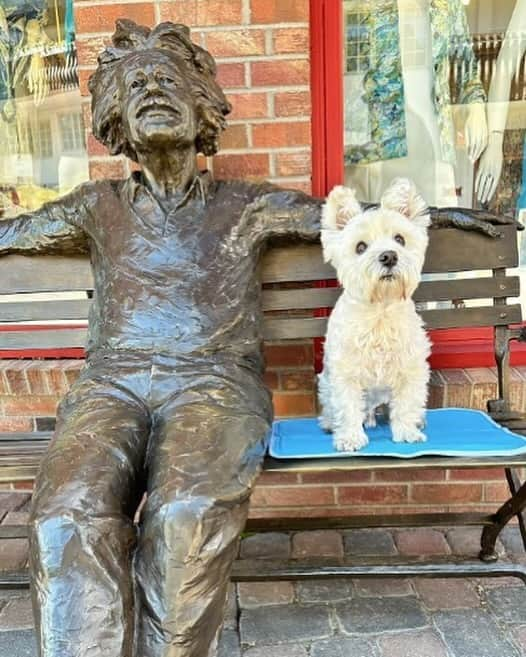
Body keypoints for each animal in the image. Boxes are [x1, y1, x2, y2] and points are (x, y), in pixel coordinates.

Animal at [318, 178, 434, 452]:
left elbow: (406, 404)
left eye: (400, 239)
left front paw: (407, 431)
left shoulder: (411, 369)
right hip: (325, 384)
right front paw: (350, 437)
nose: (389, 256)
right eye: (360, 247)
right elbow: (348, 407)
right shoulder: (345, 373)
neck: (380, 312)